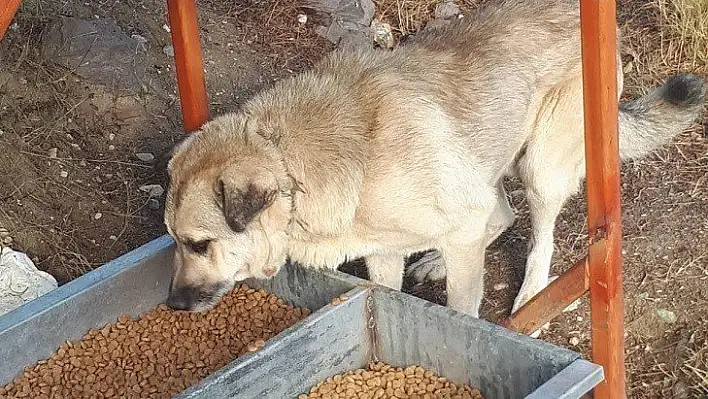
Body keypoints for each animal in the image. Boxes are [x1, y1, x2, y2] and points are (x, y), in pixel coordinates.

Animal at [163, 0, 704, 322]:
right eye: (175, 241)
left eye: (199, 244)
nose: (172, 303)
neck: (293, 164)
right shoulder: (383, 252)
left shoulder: (460, 220)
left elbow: (463, 309)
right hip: (484, 161)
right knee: (501, 213)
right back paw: (439, 261)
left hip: (540, 168)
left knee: (538, 235)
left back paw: (530, 295)